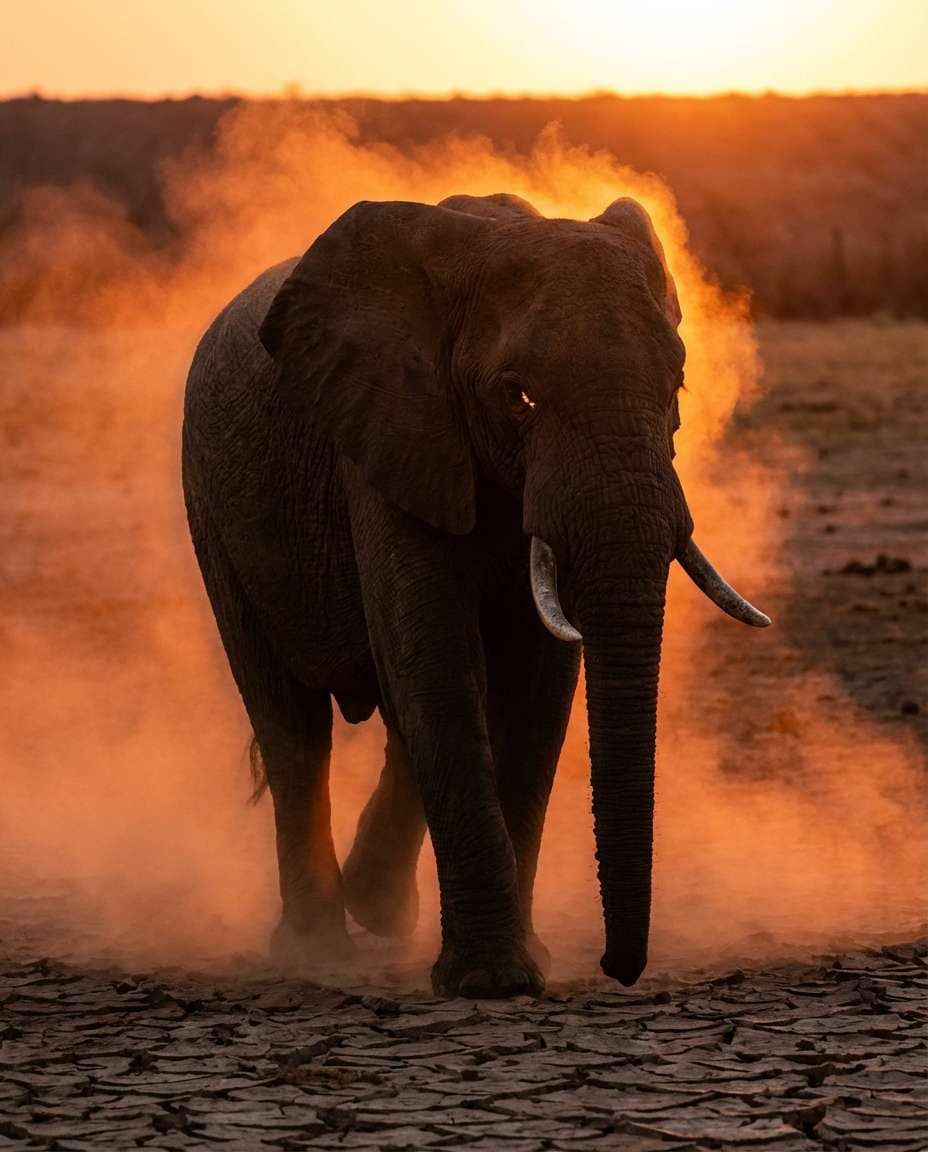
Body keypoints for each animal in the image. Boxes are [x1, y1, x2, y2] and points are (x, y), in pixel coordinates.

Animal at [182, 192, 770, 998]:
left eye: (676, 388)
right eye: (518, 396)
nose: (617, 969)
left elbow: (535, 688)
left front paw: (527, 963)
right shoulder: (388, 429)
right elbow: (435, 658)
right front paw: (491, 981)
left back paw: (379, 911)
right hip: (211, 507)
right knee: (292, 724)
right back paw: (315, 949)